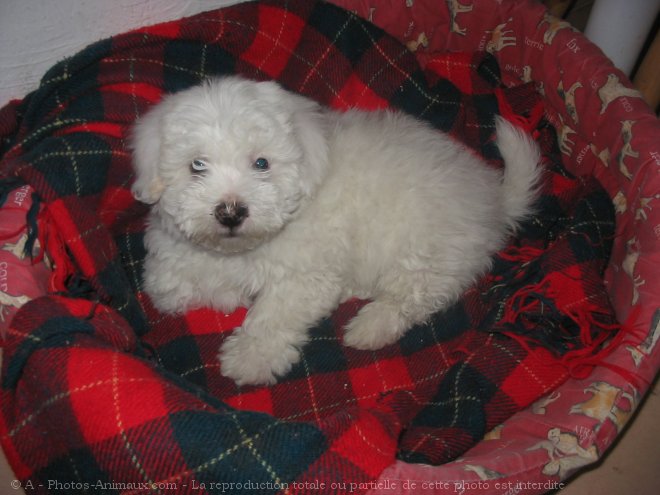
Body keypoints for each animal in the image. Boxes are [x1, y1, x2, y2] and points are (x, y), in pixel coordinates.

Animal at [130, 77, 540, 388]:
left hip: (426, 248)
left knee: (413, 295)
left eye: (261, 163)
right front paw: (225, 291)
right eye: (197, 166)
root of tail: (494, 200)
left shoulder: (306, 275)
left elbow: (273, 314)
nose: (230, 212)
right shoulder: (172, 255)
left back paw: (369, 327)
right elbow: (166, 286)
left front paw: (250, 357)